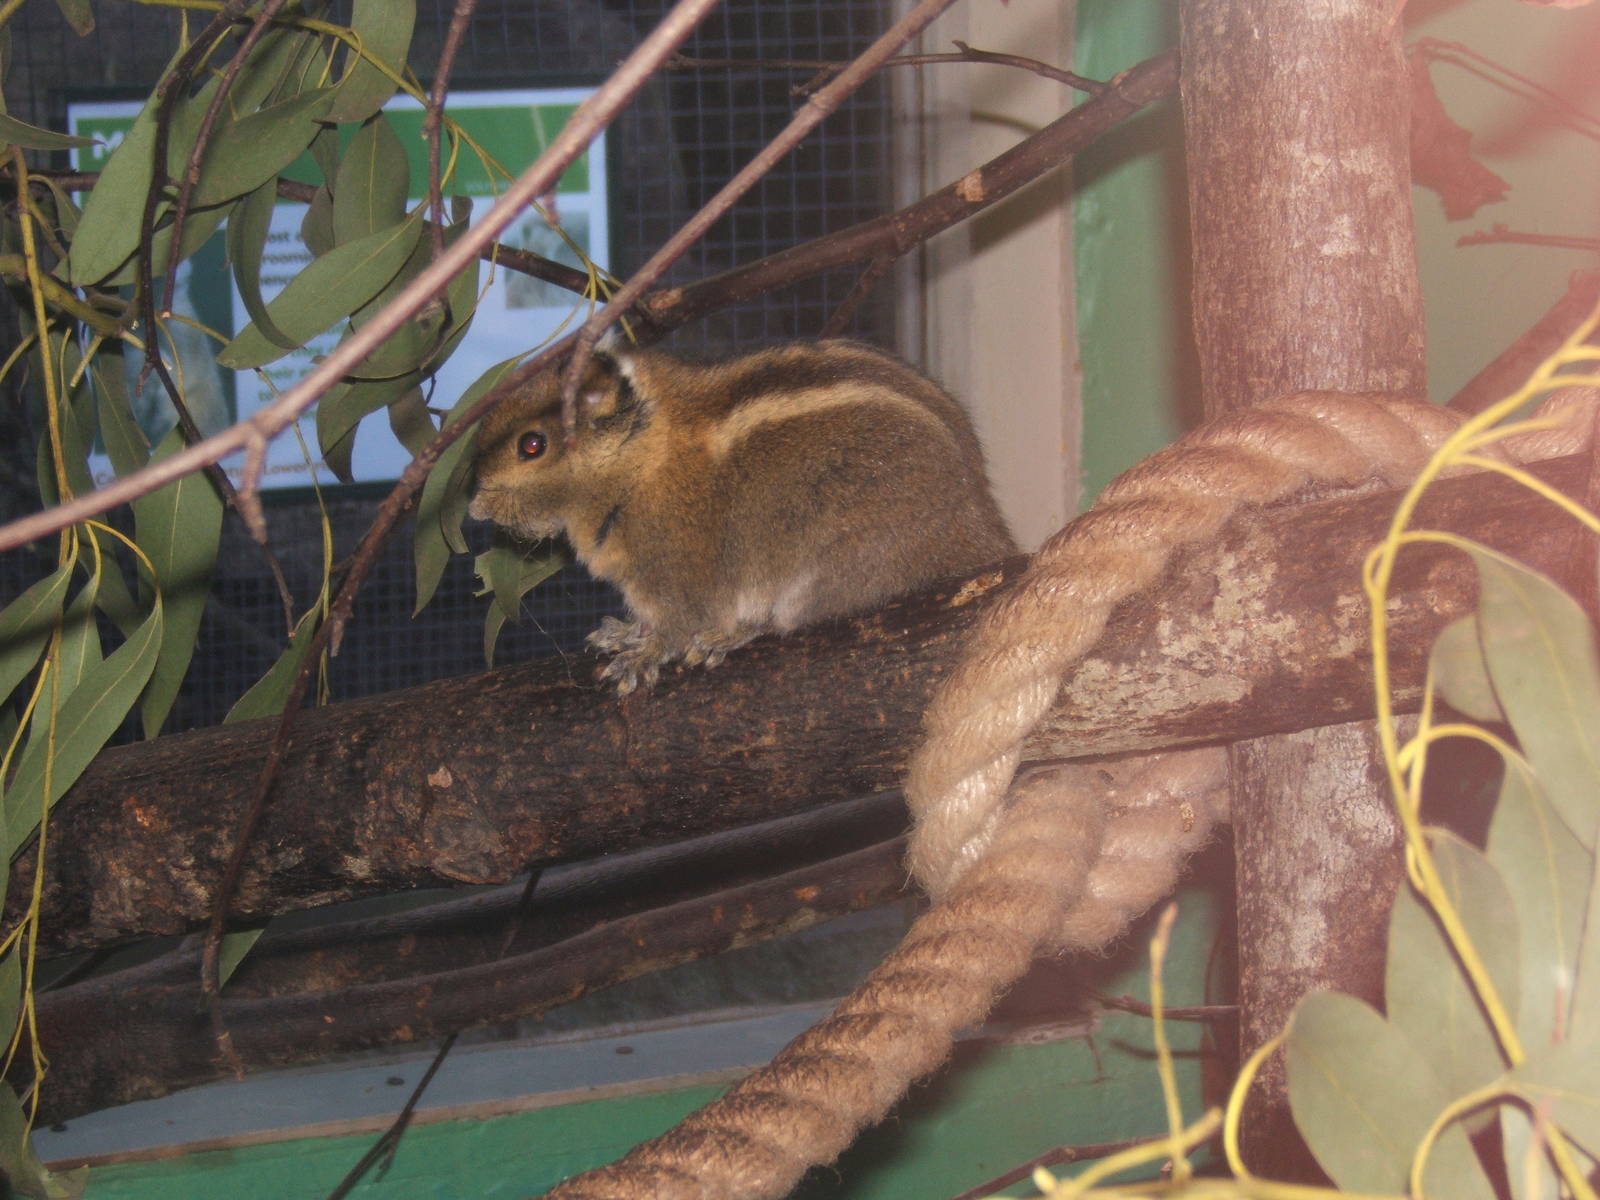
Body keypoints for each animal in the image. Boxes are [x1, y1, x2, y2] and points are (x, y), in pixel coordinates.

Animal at [468, 338, 1016, 692]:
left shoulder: (671, 575)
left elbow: (675, 625)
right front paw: (626, 632)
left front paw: (645, 653)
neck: (642, 456)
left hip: (836, 566)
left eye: (532, 445)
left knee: (787, 619)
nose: (474, 508)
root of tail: (980, 530)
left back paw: (735, 633)